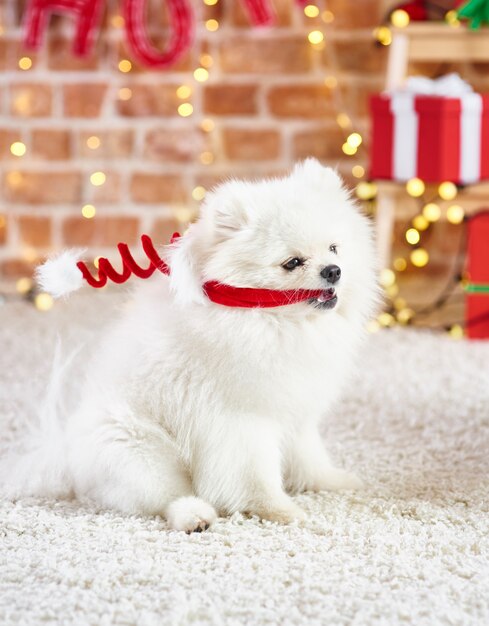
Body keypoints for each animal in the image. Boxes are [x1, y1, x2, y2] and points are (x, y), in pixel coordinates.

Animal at [0, 157, 378, 532]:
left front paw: (330, 482)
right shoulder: (241, 421)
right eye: (292, 263)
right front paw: (280, 510)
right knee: (165, 497)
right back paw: (194, 516)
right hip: (138, 450)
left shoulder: (294, 409)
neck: (271, 321)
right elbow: (254, 477)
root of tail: (66, 455)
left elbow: (309, 456)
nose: (333, 270)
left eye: (334, 247)